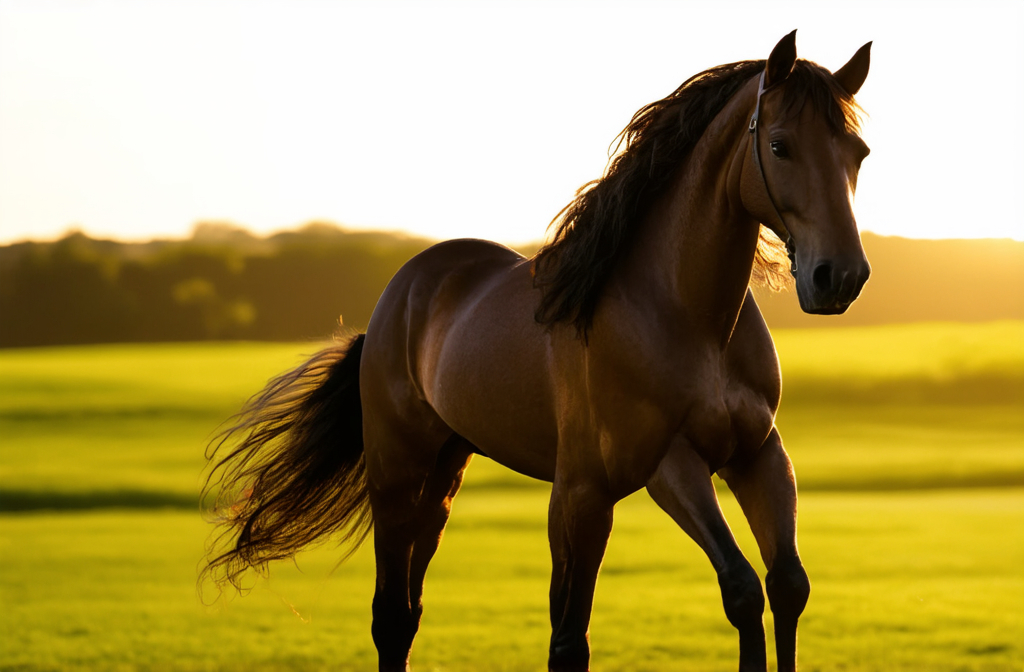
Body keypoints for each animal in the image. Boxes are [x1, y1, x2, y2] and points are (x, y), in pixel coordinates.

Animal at [201, 31, 872, 672]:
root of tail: (399, 295)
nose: (838, 277)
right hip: (403, 473)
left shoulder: (757, 454)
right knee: (394, 617)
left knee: (414, 610)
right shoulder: (650, 469)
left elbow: (786, 586)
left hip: (445, 479)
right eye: (780, 146)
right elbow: (730, 591)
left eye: (858, 153)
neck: (688, 319)